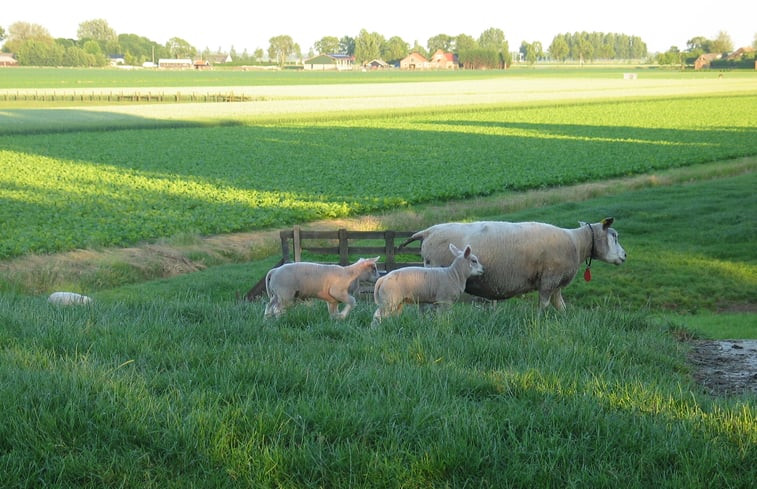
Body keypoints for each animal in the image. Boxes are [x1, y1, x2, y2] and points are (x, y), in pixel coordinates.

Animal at [402, 218, 628, 310]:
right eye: (614, 236)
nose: (625, 255)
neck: (577, 243)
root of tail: (428, 231)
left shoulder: (556, 283)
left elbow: (561, 306)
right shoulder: (549, 279)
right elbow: (543, 306)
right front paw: (540, 323)